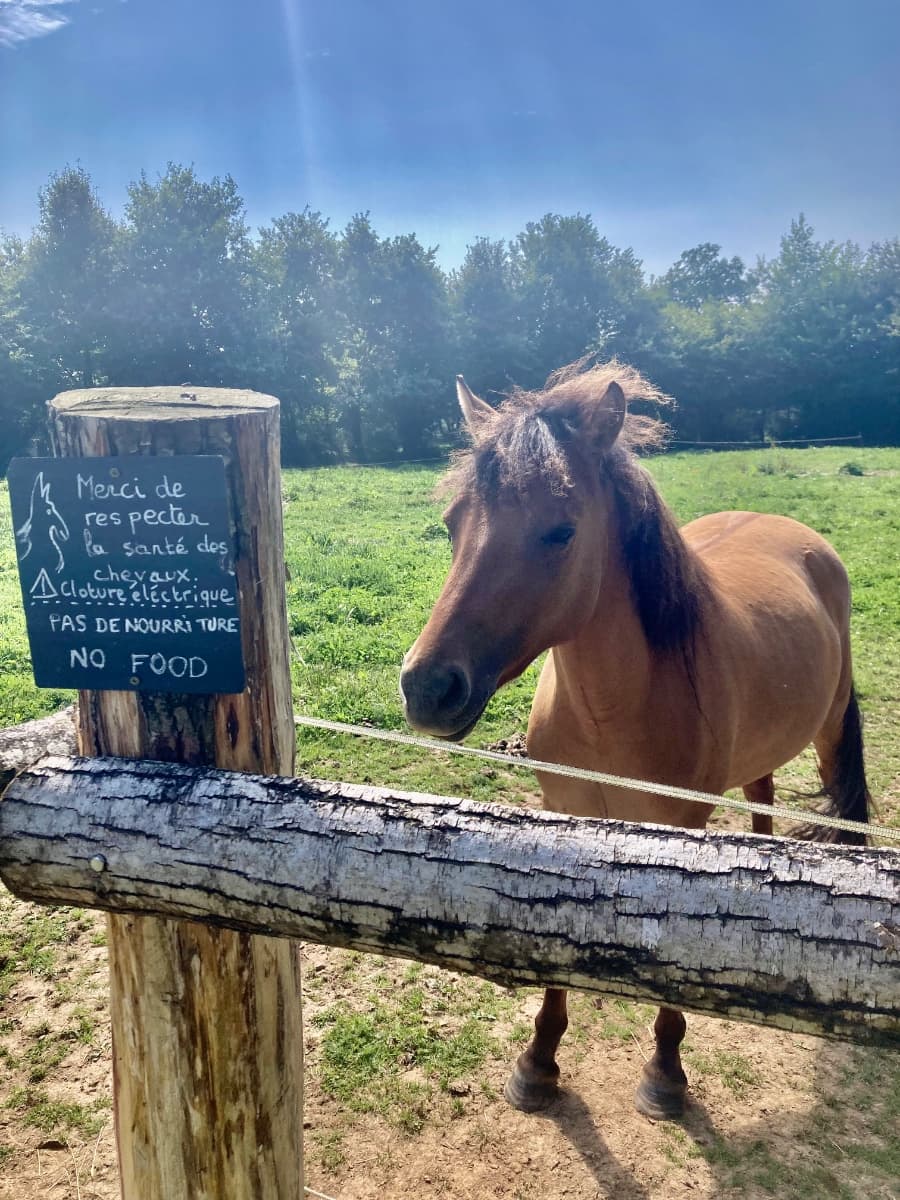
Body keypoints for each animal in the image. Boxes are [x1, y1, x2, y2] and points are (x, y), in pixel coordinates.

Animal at [399, 359, 870, 1120]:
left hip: (829, 734)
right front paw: (538, 1062)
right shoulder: (566, 818)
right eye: (452, 525)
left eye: (560, 532)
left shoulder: (680, 830)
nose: (427, 687)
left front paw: (666, 1072)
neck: (612, 710)